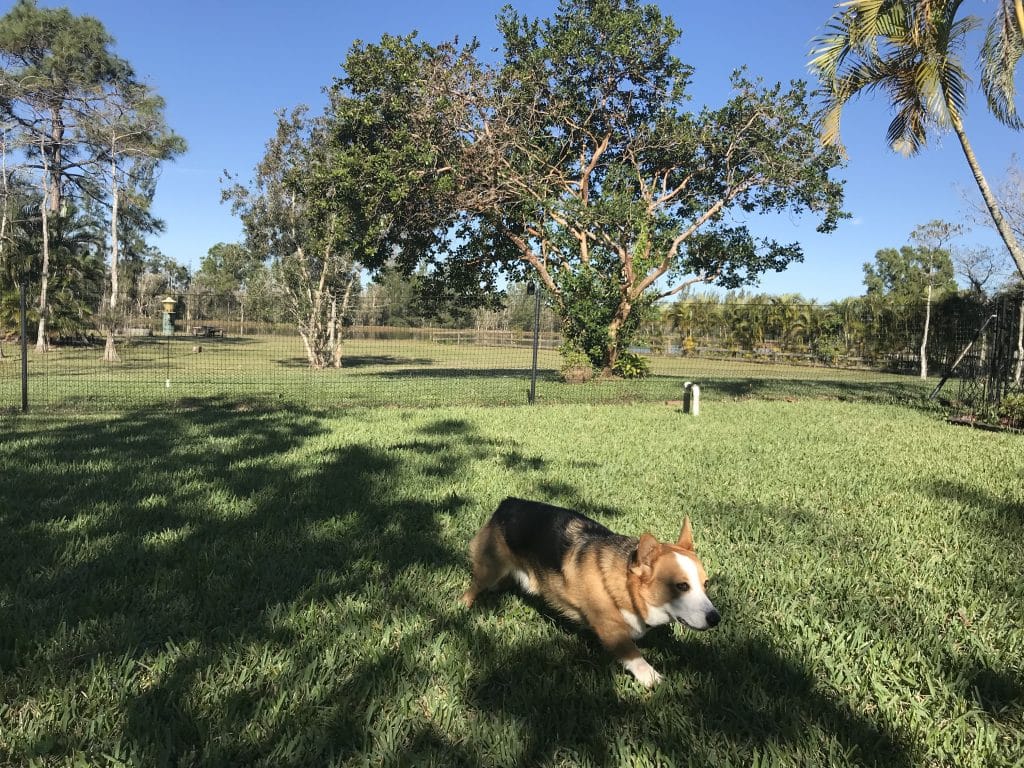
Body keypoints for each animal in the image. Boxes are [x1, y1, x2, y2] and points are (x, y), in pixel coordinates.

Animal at [464, 499, 720, 692]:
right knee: (473, 588)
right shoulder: (611, 630)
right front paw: (652, 678)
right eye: (682, 586)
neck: (625, 587)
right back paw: (463, 607)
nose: (716, 619)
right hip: (490, 570)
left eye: (705, 584)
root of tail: (508, 503)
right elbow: (633, 655)